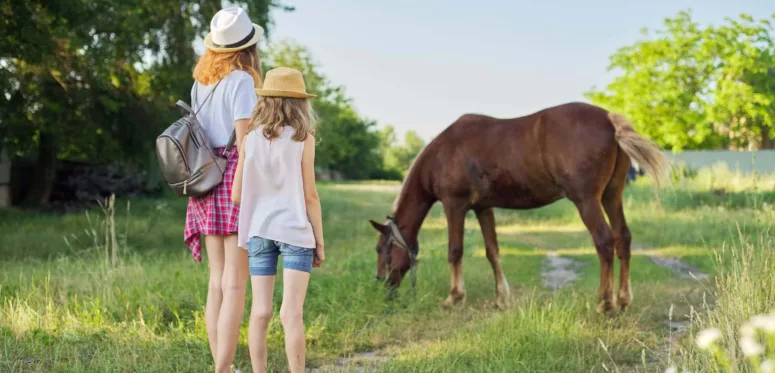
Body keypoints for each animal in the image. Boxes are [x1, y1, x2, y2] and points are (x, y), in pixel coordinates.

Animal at [370, 101, 668, 310]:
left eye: (380, 249)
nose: (382, 286)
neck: (444, 152)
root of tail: (608, 119)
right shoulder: (483, 208)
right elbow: (493, 251)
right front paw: (501, 299)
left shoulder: (454, 206)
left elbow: (455, 251)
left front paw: (454, 298)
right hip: (611, 197)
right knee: (623, 238)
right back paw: (623, 300)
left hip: (587, 201)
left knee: (605, 241)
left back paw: (604, 303)